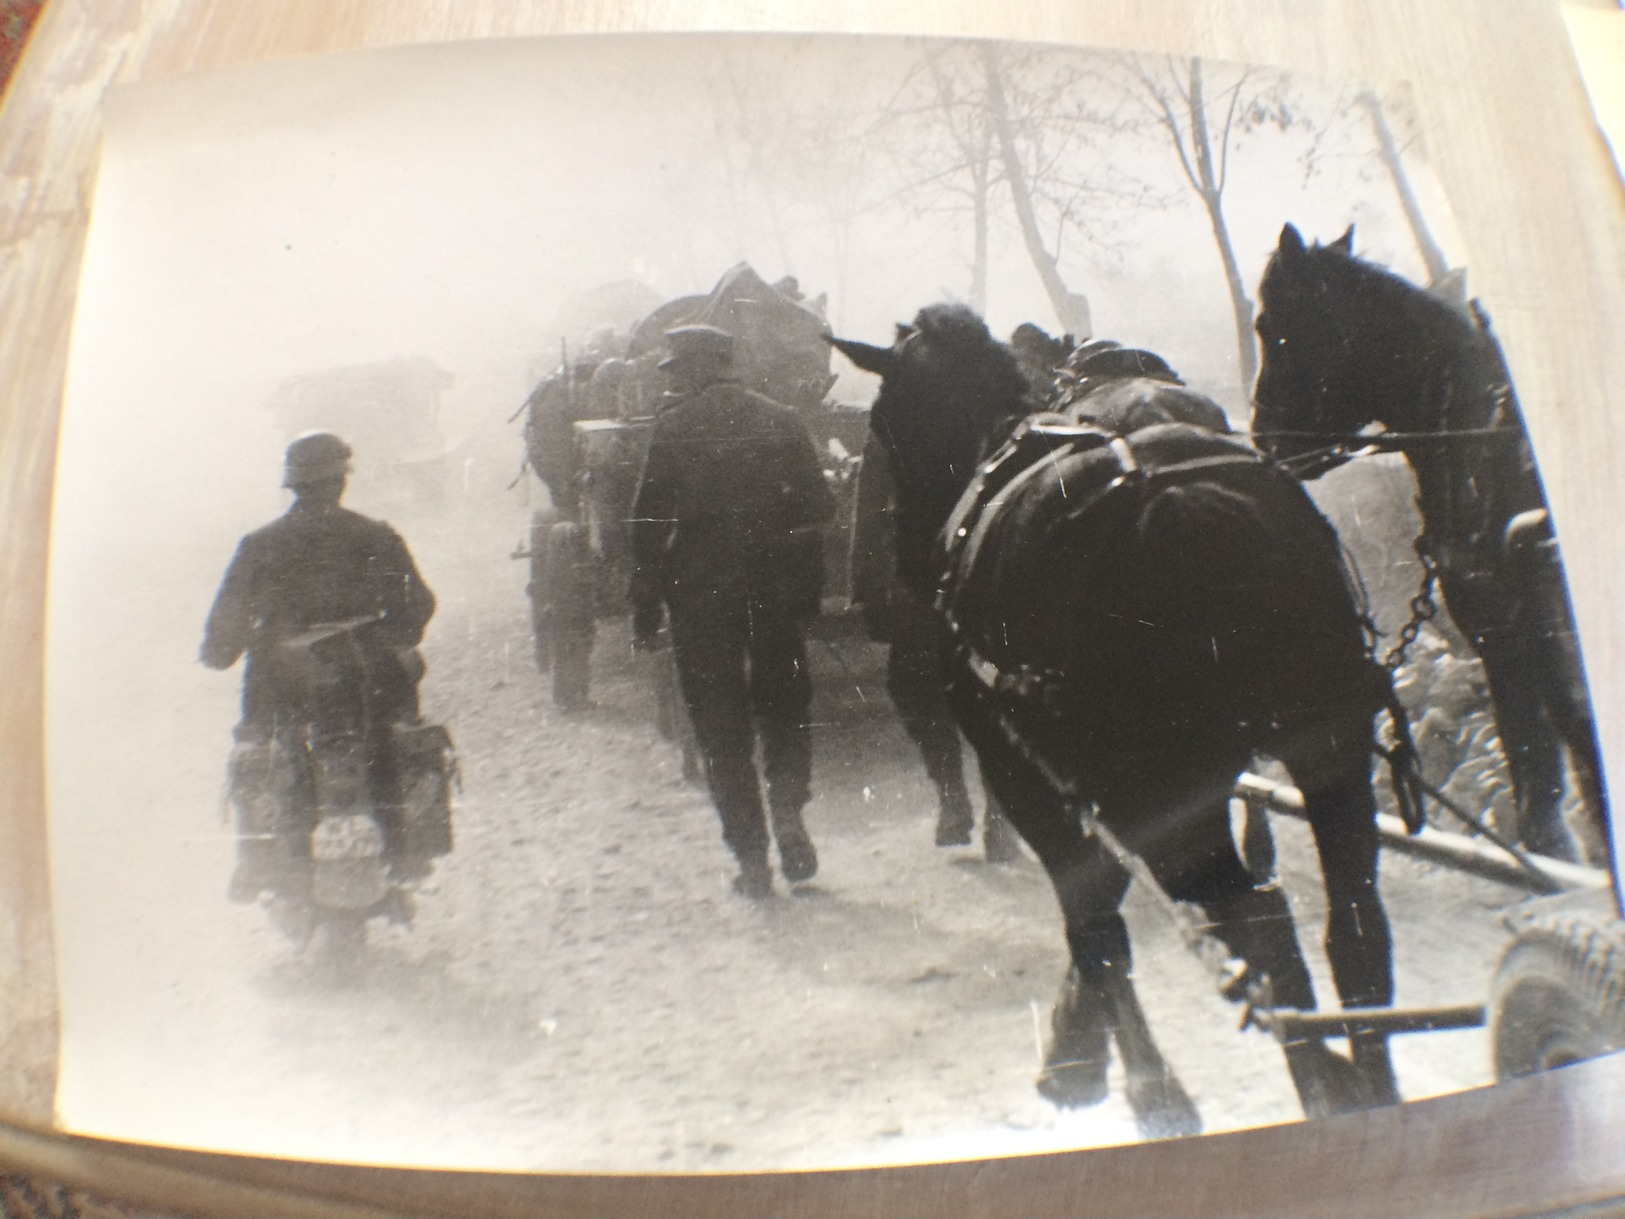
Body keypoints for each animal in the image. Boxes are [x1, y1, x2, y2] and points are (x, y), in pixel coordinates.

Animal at [832, 305, 1404, 1137]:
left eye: (880, 418)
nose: (899, 557)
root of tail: (1176, 505)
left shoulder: (1028, 774)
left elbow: (1092, 919)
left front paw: (1138, 1081)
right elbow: (1102, 902)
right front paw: (1078, 1044)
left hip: (1158, 786)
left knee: (1254, 920)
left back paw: (1314, 1074)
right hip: (1323, 747)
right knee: (1352, 929)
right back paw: (1362, 1074)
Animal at [1248, 222, 1605, 871]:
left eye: (1270, 326)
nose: (1266, 439)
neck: (1482, 446)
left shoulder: (1546, 626)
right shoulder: (1500, 634)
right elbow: (1539, 795)